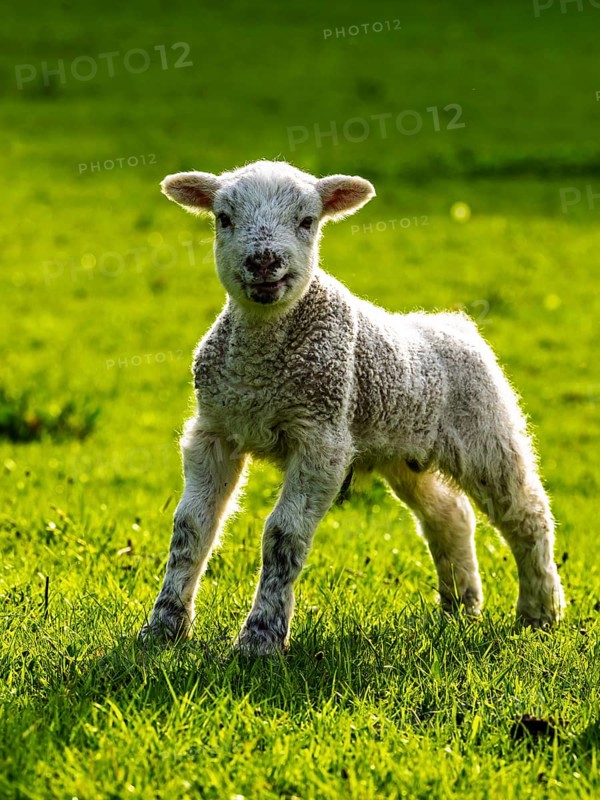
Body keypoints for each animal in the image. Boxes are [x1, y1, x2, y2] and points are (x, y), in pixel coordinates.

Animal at [140, 159, 565, 654]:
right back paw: (461, 606)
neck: (259, 373)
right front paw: (162, 627)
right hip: (403, 452)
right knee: (450, 515)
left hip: (486, 432)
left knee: (527, 513)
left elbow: (282, 535)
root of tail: (454, 322)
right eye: (223, 218)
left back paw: (540, 613)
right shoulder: (214, 431)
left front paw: (260, 639)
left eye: (307, 221)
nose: (264, 261)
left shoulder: (322, 439)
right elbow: (190, 526)